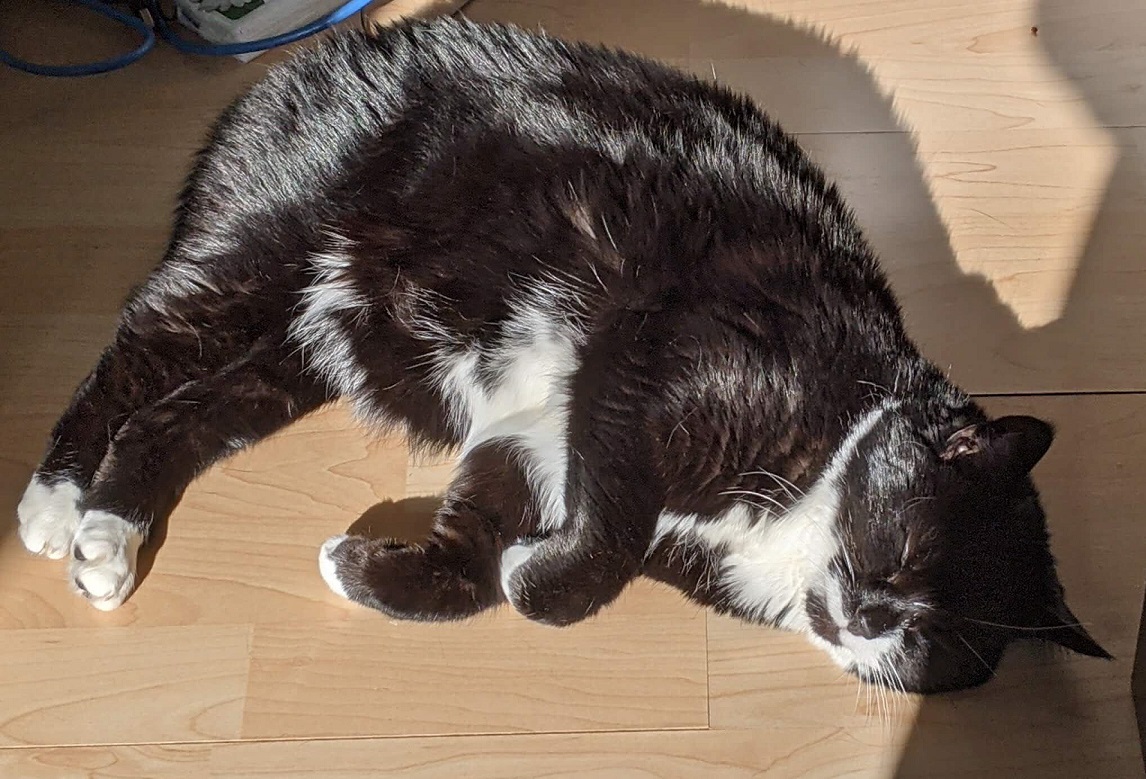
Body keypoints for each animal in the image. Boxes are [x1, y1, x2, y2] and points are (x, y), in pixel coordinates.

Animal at [15, 18, 1109, 691]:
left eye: (934, 639)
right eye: (910, 546)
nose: (873, 617)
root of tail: (304, 64)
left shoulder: (539, 440)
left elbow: (474, 547)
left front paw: (372, 566)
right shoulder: (652, 362)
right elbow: (600, 554)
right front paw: (537, 578)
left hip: (303, 346)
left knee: (174, 415)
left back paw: (109, 538)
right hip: (264, 245)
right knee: (139, 348)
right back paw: (57, 502)